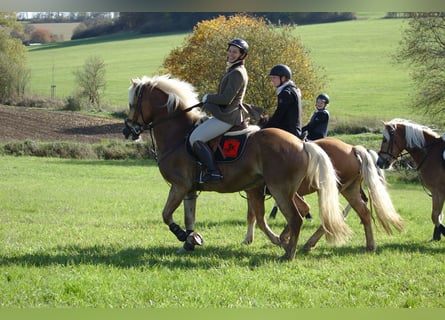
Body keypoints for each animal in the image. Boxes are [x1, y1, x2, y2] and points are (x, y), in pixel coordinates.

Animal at [122, 75, 350, 260]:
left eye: (132, 104)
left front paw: (182, 236)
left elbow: (166, 215)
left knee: (295, 218)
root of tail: (302, 144)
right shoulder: (190, 189)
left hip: (279, 190)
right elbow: (189, 217)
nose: (127, 131)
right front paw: (190, 241)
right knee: (297, 212)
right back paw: (286, 243)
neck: (178, 133)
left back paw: (288, 253)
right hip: (280, 189)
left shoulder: (179, 186)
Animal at [243, 138, 402, 252]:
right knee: (363, 212)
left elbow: (254, 215)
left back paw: (309, 242)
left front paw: (252, 238)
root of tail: (352, 149)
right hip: (349, 190)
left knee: (332, 216)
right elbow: (254, 215)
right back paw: (370, 245)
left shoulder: (256, 191)